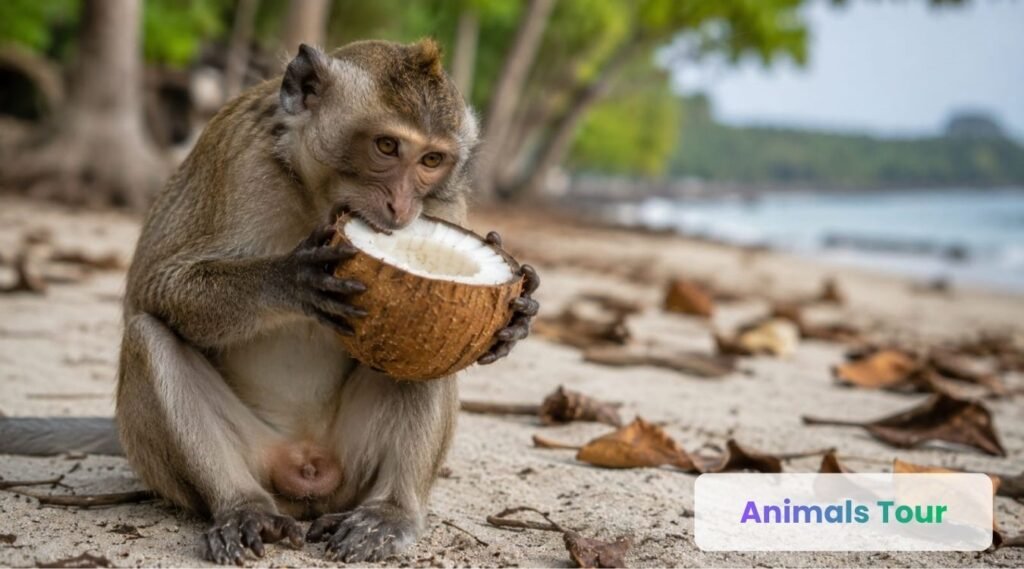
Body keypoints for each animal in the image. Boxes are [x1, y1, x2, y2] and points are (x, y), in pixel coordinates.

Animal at [0, 39, 540, 565]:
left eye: (431, 161)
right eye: (387, 146)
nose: (402, 208)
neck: (319, 200)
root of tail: (306, 465)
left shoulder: (446, 203)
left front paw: (518, 318)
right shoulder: (237, 157)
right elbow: (154, 286)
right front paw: (291, 280)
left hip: (354, 460)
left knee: (427, 360)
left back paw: (389, 513)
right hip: (241, 457)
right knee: (149, 333)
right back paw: (243, 507)